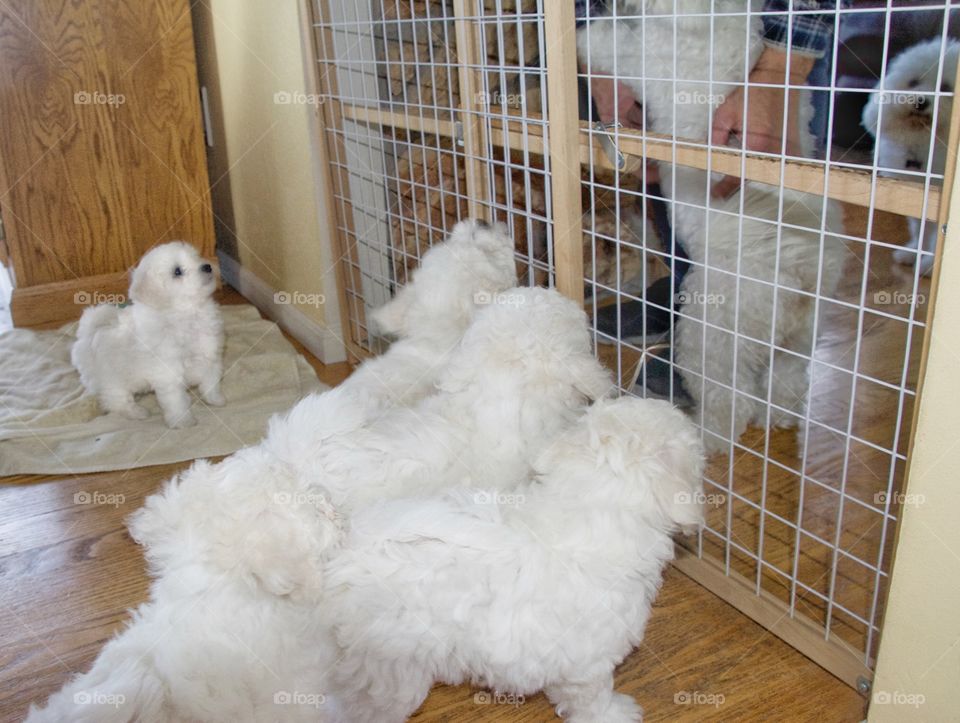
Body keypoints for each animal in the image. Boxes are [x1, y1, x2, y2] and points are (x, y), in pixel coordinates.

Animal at [71, 240, 223, 428]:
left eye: (196, 257)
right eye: (177, 271)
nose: (207, 266)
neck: (187, 313)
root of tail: (88, 331)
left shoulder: (210, 357)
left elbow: (211, 381)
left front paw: (216, 400)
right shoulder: (168, 373)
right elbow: (177, 401)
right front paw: (183, 421)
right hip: (110, 378)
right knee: (116, 400)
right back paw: (137, 412)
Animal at [322, 396, 704, 723]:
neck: (594, 501)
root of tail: (356, 546)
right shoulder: (590, 662)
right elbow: (594, 697)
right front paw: (614, 713)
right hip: (391, 667)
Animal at [576, 0, 848, 452]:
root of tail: (801, 271)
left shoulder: (644, 57)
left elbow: (609, 42)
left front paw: (582, 36)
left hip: (711, 337)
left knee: (730, 402)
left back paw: (707, 436)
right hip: (797, 339)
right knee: (785, 382)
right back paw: (776, 417)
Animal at [860, 37, 956, 280]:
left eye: (946, 88)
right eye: (913, 82)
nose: (921, 101)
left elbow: (935, 237)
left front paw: (928, 264)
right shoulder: (914, 195)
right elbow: (919, 230)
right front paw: (913, 253)